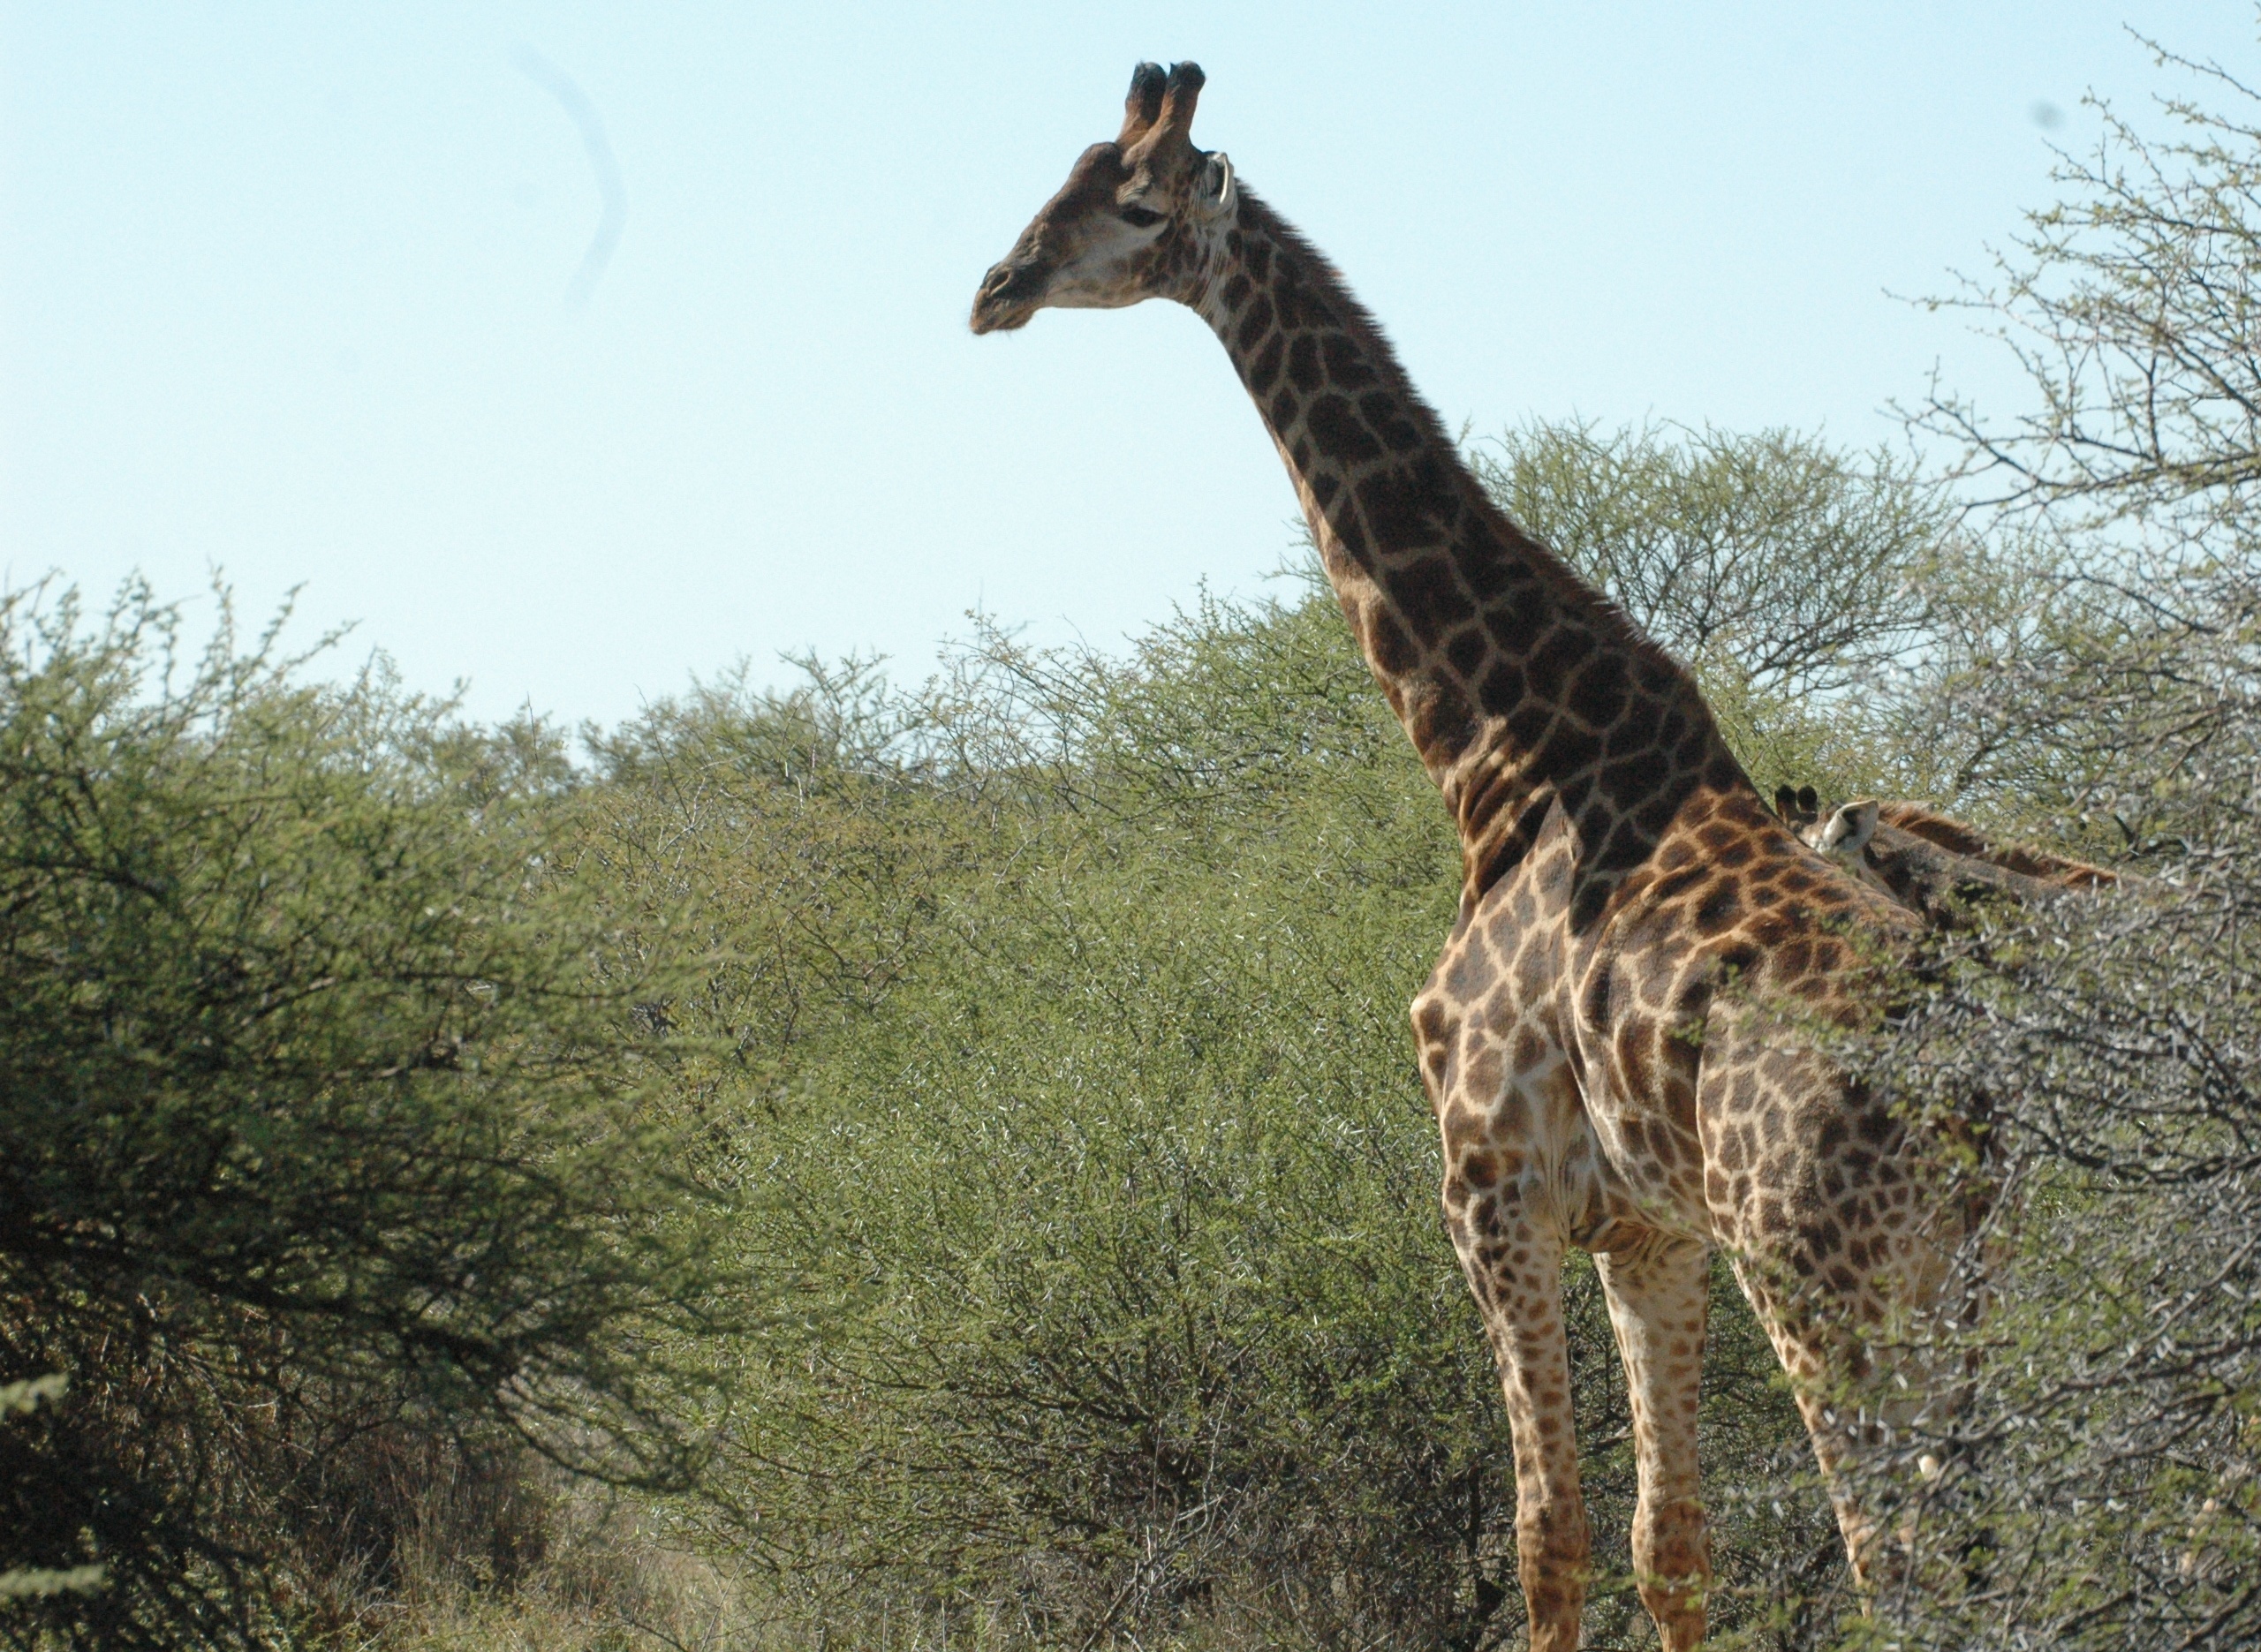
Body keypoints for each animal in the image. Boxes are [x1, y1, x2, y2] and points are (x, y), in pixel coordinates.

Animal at [972, 61, 1980, 1645]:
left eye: (1133, 205)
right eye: (1060, 174)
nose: (996, 288)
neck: (1501, 763)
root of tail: (1973, 1100)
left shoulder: (1487, 1185)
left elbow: (1545, 1536)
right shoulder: (1650, 1232)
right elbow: (1668, 1544)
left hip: (1825, 1277)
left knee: (1896, 1557)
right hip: (1964, 1287)